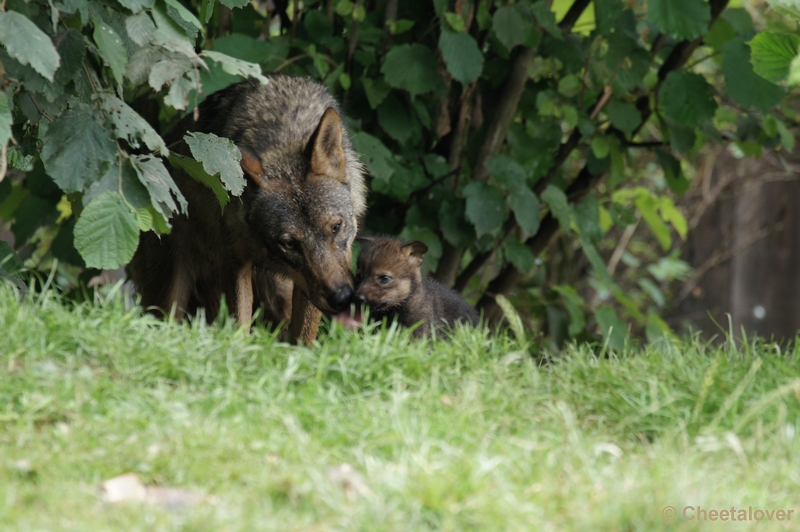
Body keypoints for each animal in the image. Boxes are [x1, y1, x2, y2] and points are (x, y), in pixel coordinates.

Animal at [130, 75, 368, 344]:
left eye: (336, 227)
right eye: (288, 244)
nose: (341, 297)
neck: (282, 139)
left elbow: (303, 339)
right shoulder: (236, 263)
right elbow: (239, 325)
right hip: (169, 296)